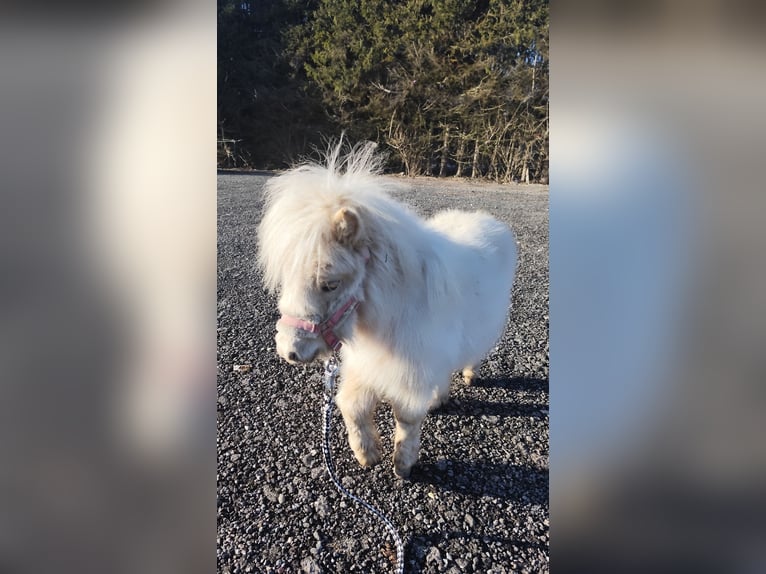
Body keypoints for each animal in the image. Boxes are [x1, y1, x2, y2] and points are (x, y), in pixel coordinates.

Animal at [257, 142, 517, 478]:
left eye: (330, 284)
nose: (288, 351)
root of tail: (488, 220)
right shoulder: (366, 364)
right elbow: (351, 405)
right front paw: (367, 453)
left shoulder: (412, 372)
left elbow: (406, 417)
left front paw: (403, 464)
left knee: (473, 356)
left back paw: (468, 376)